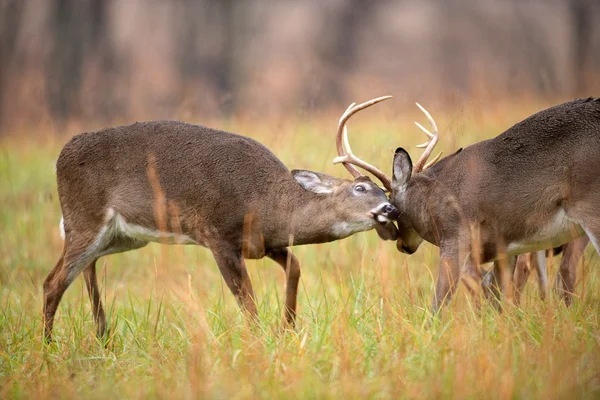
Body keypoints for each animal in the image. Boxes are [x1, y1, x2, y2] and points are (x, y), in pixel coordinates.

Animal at [43, 96, 398, 340]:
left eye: (386, 192)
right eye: (360, 188)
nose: (390, 209)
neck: (270, 204)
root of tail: (60, 156)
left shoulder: (264, 243)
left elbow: (295, 267)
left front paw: (287, 328)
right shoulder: (218, 235)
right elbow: (247, 301)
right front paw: (260, 342)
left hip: (123, 236)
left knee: (84, 268)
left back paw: (102, 335)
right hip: (84, 218)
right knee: (53, 282)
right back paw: (48, 348)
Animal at [332, 97, 600, 316]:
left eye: (393, 208)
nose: (402, 246)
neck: (433, 197)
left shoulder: (456, 236)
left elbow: (440, 301)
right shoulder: (505, 247)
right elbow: (498, 300)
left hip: (590, 210)